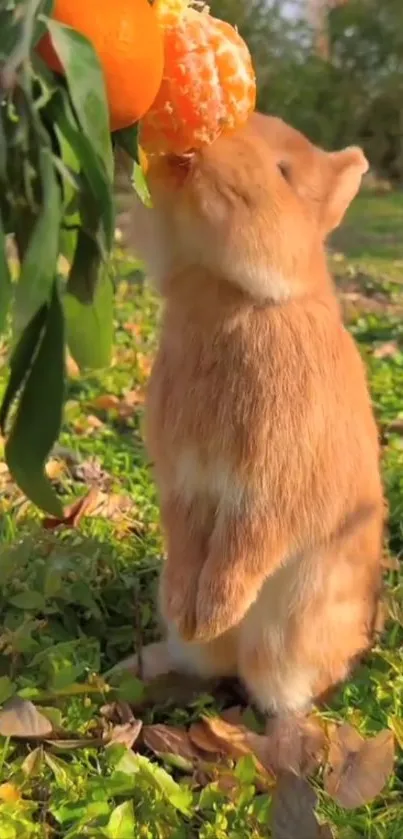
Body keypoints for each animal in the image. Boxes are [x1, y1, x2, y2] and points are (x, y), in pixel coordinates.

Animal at [118, 113, 384, 716]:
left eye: (284, 173)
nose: (199, 153)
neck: (232, 298)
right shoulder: (186, 482)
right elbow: (187, 535)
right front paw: (191, 610)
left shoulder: (271, 485)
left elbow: (247, 543)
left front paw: (214, 612)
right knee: (207, 664)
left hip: (289, 639)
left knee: (276, 689)